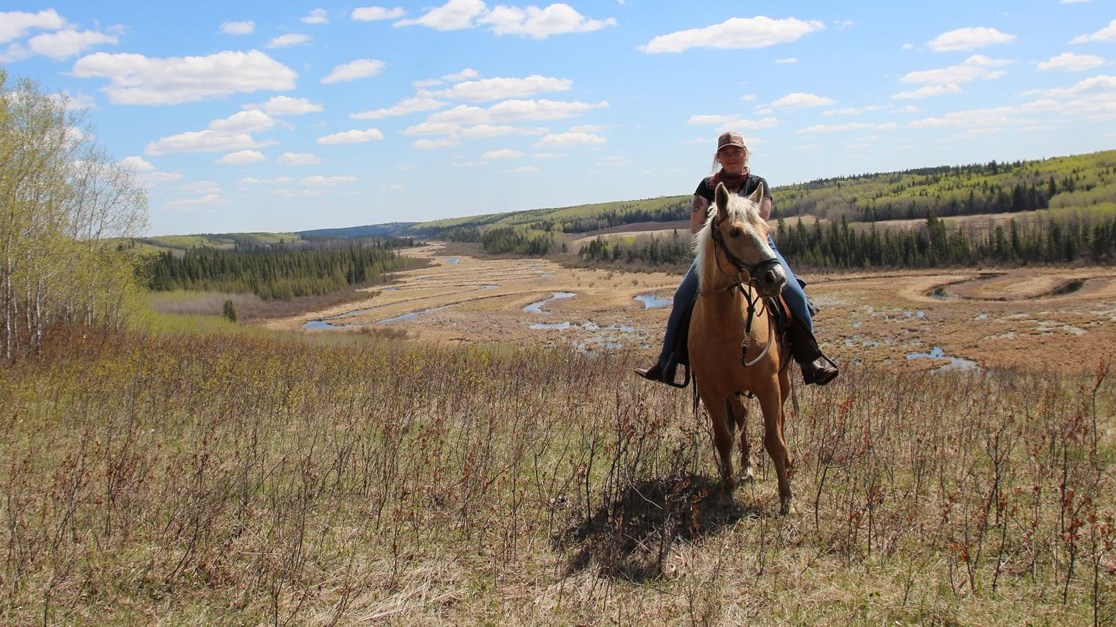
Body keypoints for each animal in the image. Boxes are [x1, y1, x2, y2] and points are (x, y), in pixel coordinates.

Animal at [687, 182, 795, 515]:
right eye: (734, 232)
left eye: (766, 229)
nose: (775, 278)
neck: (726, 327)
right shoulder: (712, 390)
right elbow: (724, 439)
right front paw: (727, 491)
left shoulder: (768, 383)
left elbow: (774, 439)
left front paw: (787, 499)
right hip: (734, 391)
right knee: (744, 418)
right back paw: (746, 467)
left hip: (783, 381)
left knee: (781, 421)